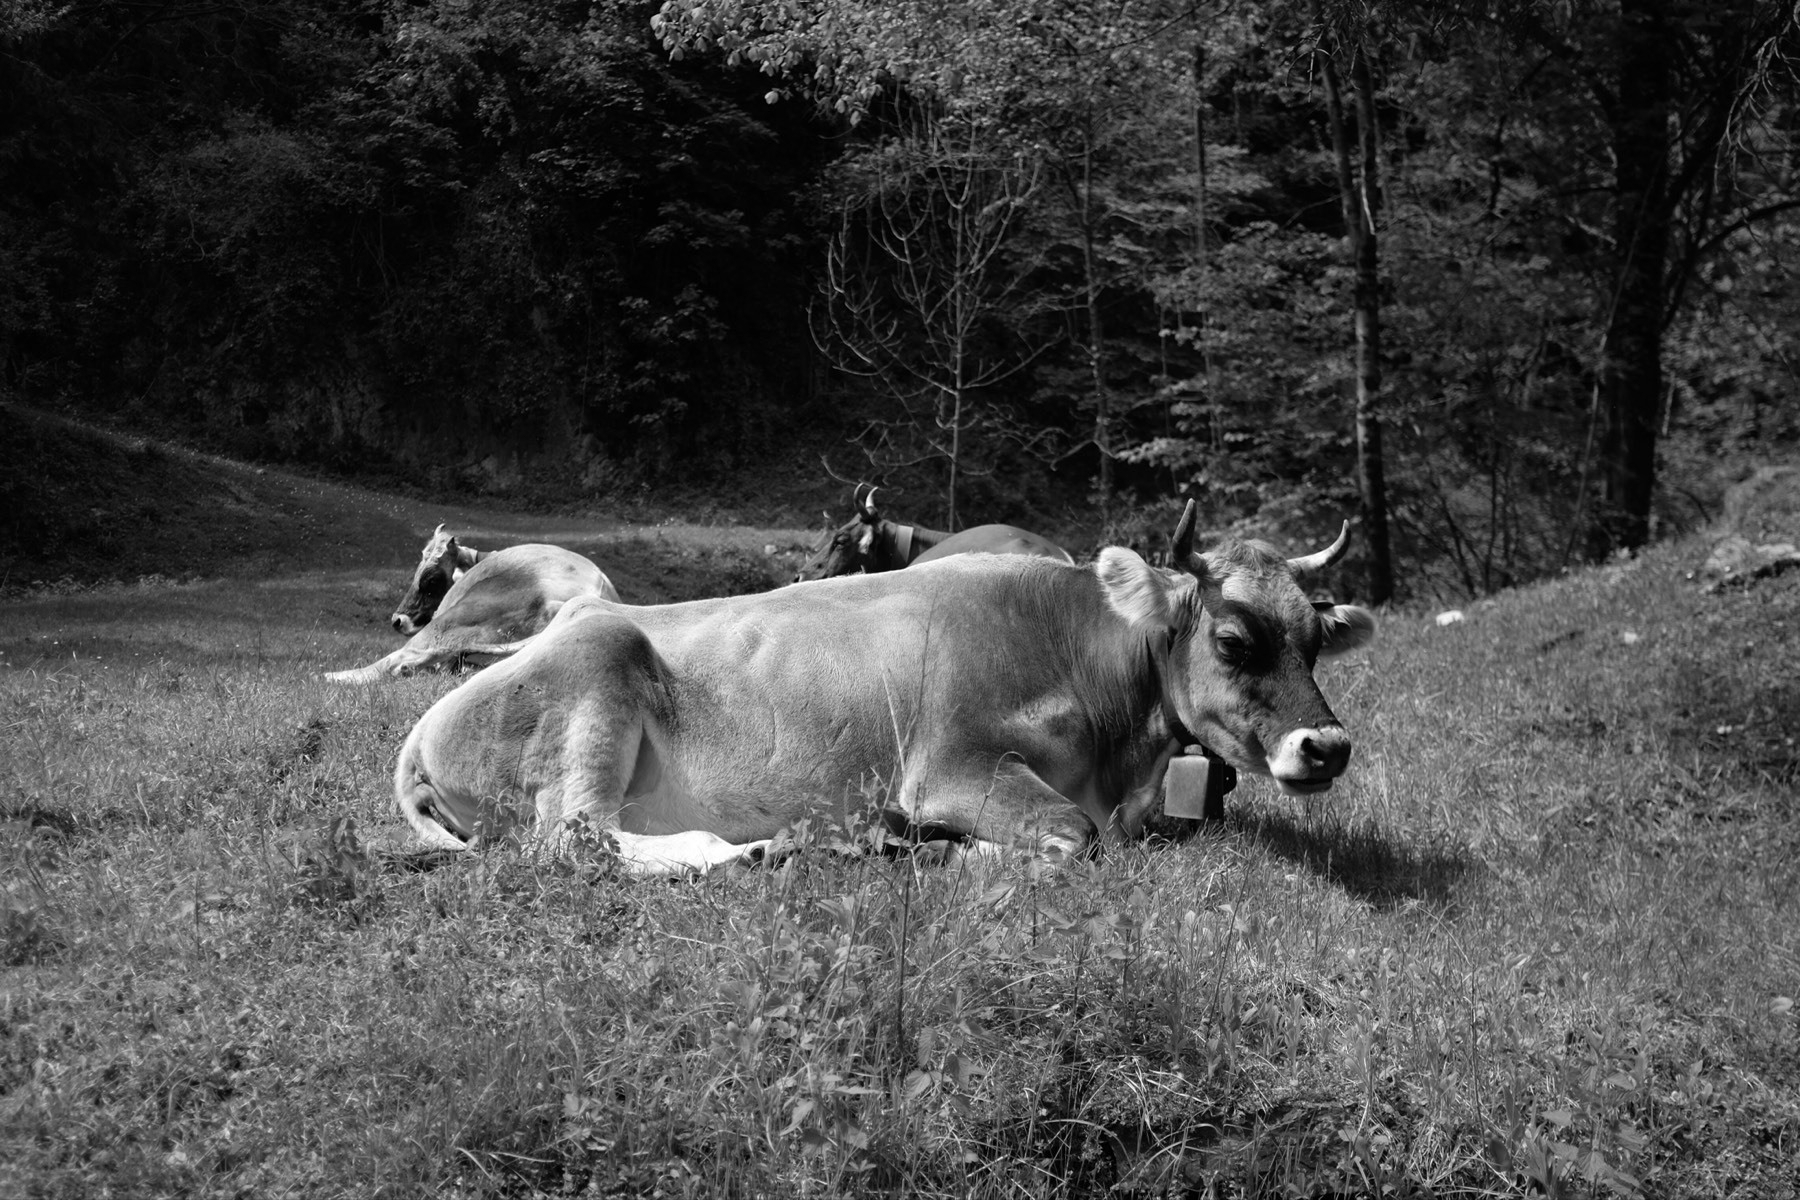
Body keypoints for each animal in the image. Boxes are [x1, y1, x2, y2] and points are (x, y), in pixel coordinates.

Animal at [390, 503, 1375, 877]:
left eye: (1317, 640)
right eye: (1234, 640)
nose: (1326, 747)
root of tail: (426, 724)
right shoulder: (954, 767)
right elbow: (1072, 836)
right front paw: (942, 851)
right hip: (596, 684)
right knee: (576, 839)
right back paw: (754, 849)